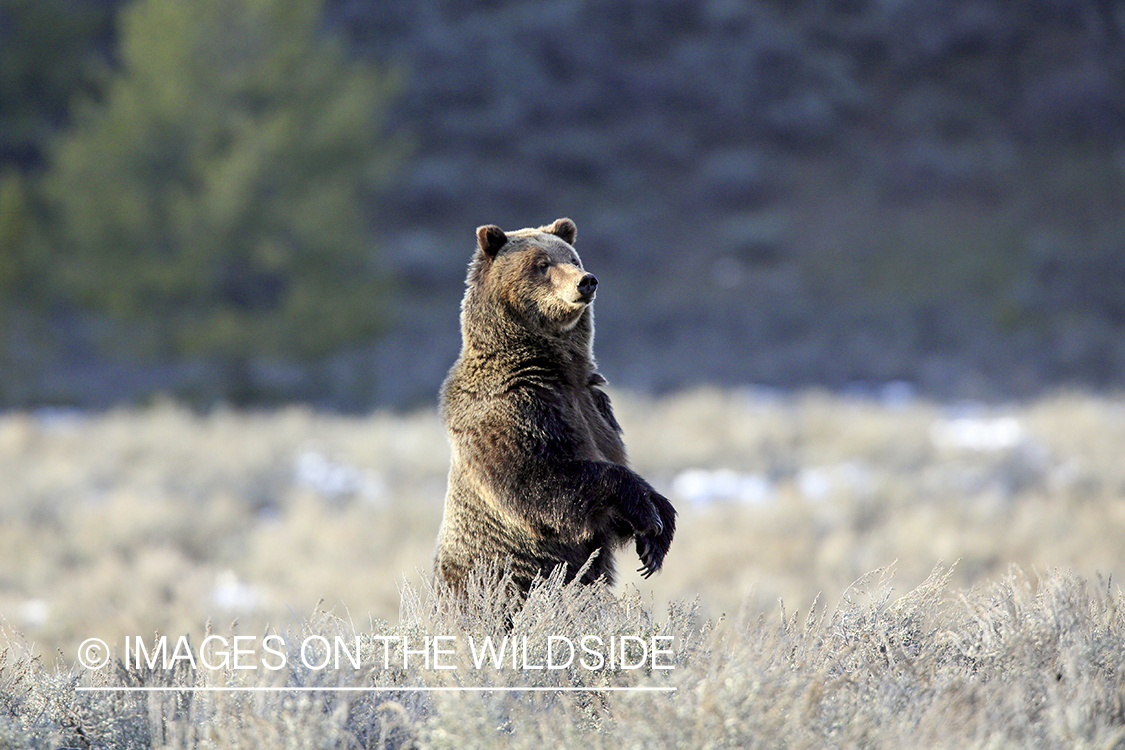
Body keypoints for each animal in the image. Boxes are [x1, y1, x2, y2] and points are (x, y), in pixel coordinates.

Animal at [432, 217, 675, 598]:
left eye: (572, 258)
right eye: (542, 264)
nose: (586, 280)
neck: (556, 368)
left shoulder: (595, 407)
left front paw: (657, 533)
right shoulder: (515, 407)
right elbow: (539, 481)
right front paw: (645, 511)